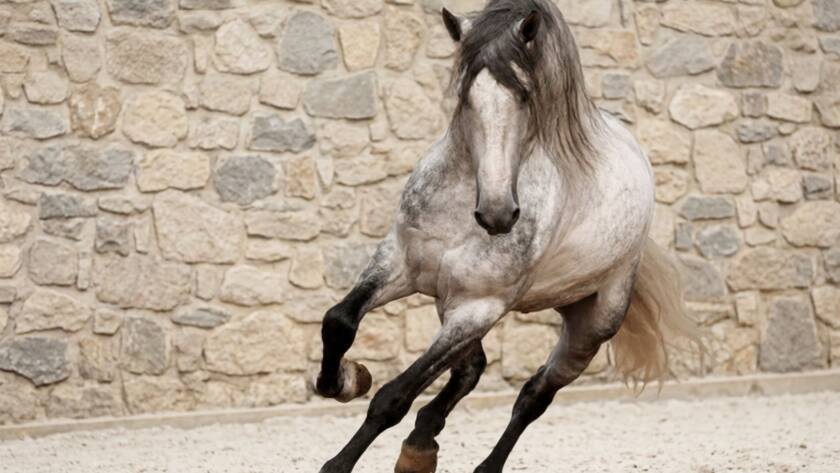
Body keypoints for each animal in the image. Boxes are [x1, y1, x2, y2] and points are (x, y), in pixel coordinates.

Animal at [313, 1, 700, 472]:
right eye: (464, 95)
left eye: (526, 96)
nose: (498, 214)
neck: (461, 209)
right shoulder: (399, 262)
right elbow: (339, 322)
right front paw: (349, 380)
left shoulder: (479, 306)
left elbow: (394, 396)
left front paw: (338, 462)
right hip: (451, 304)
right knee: (471, 369)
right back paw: (421, 444)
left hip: (591, 325)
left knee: (534, 395)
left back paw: (474, 461)